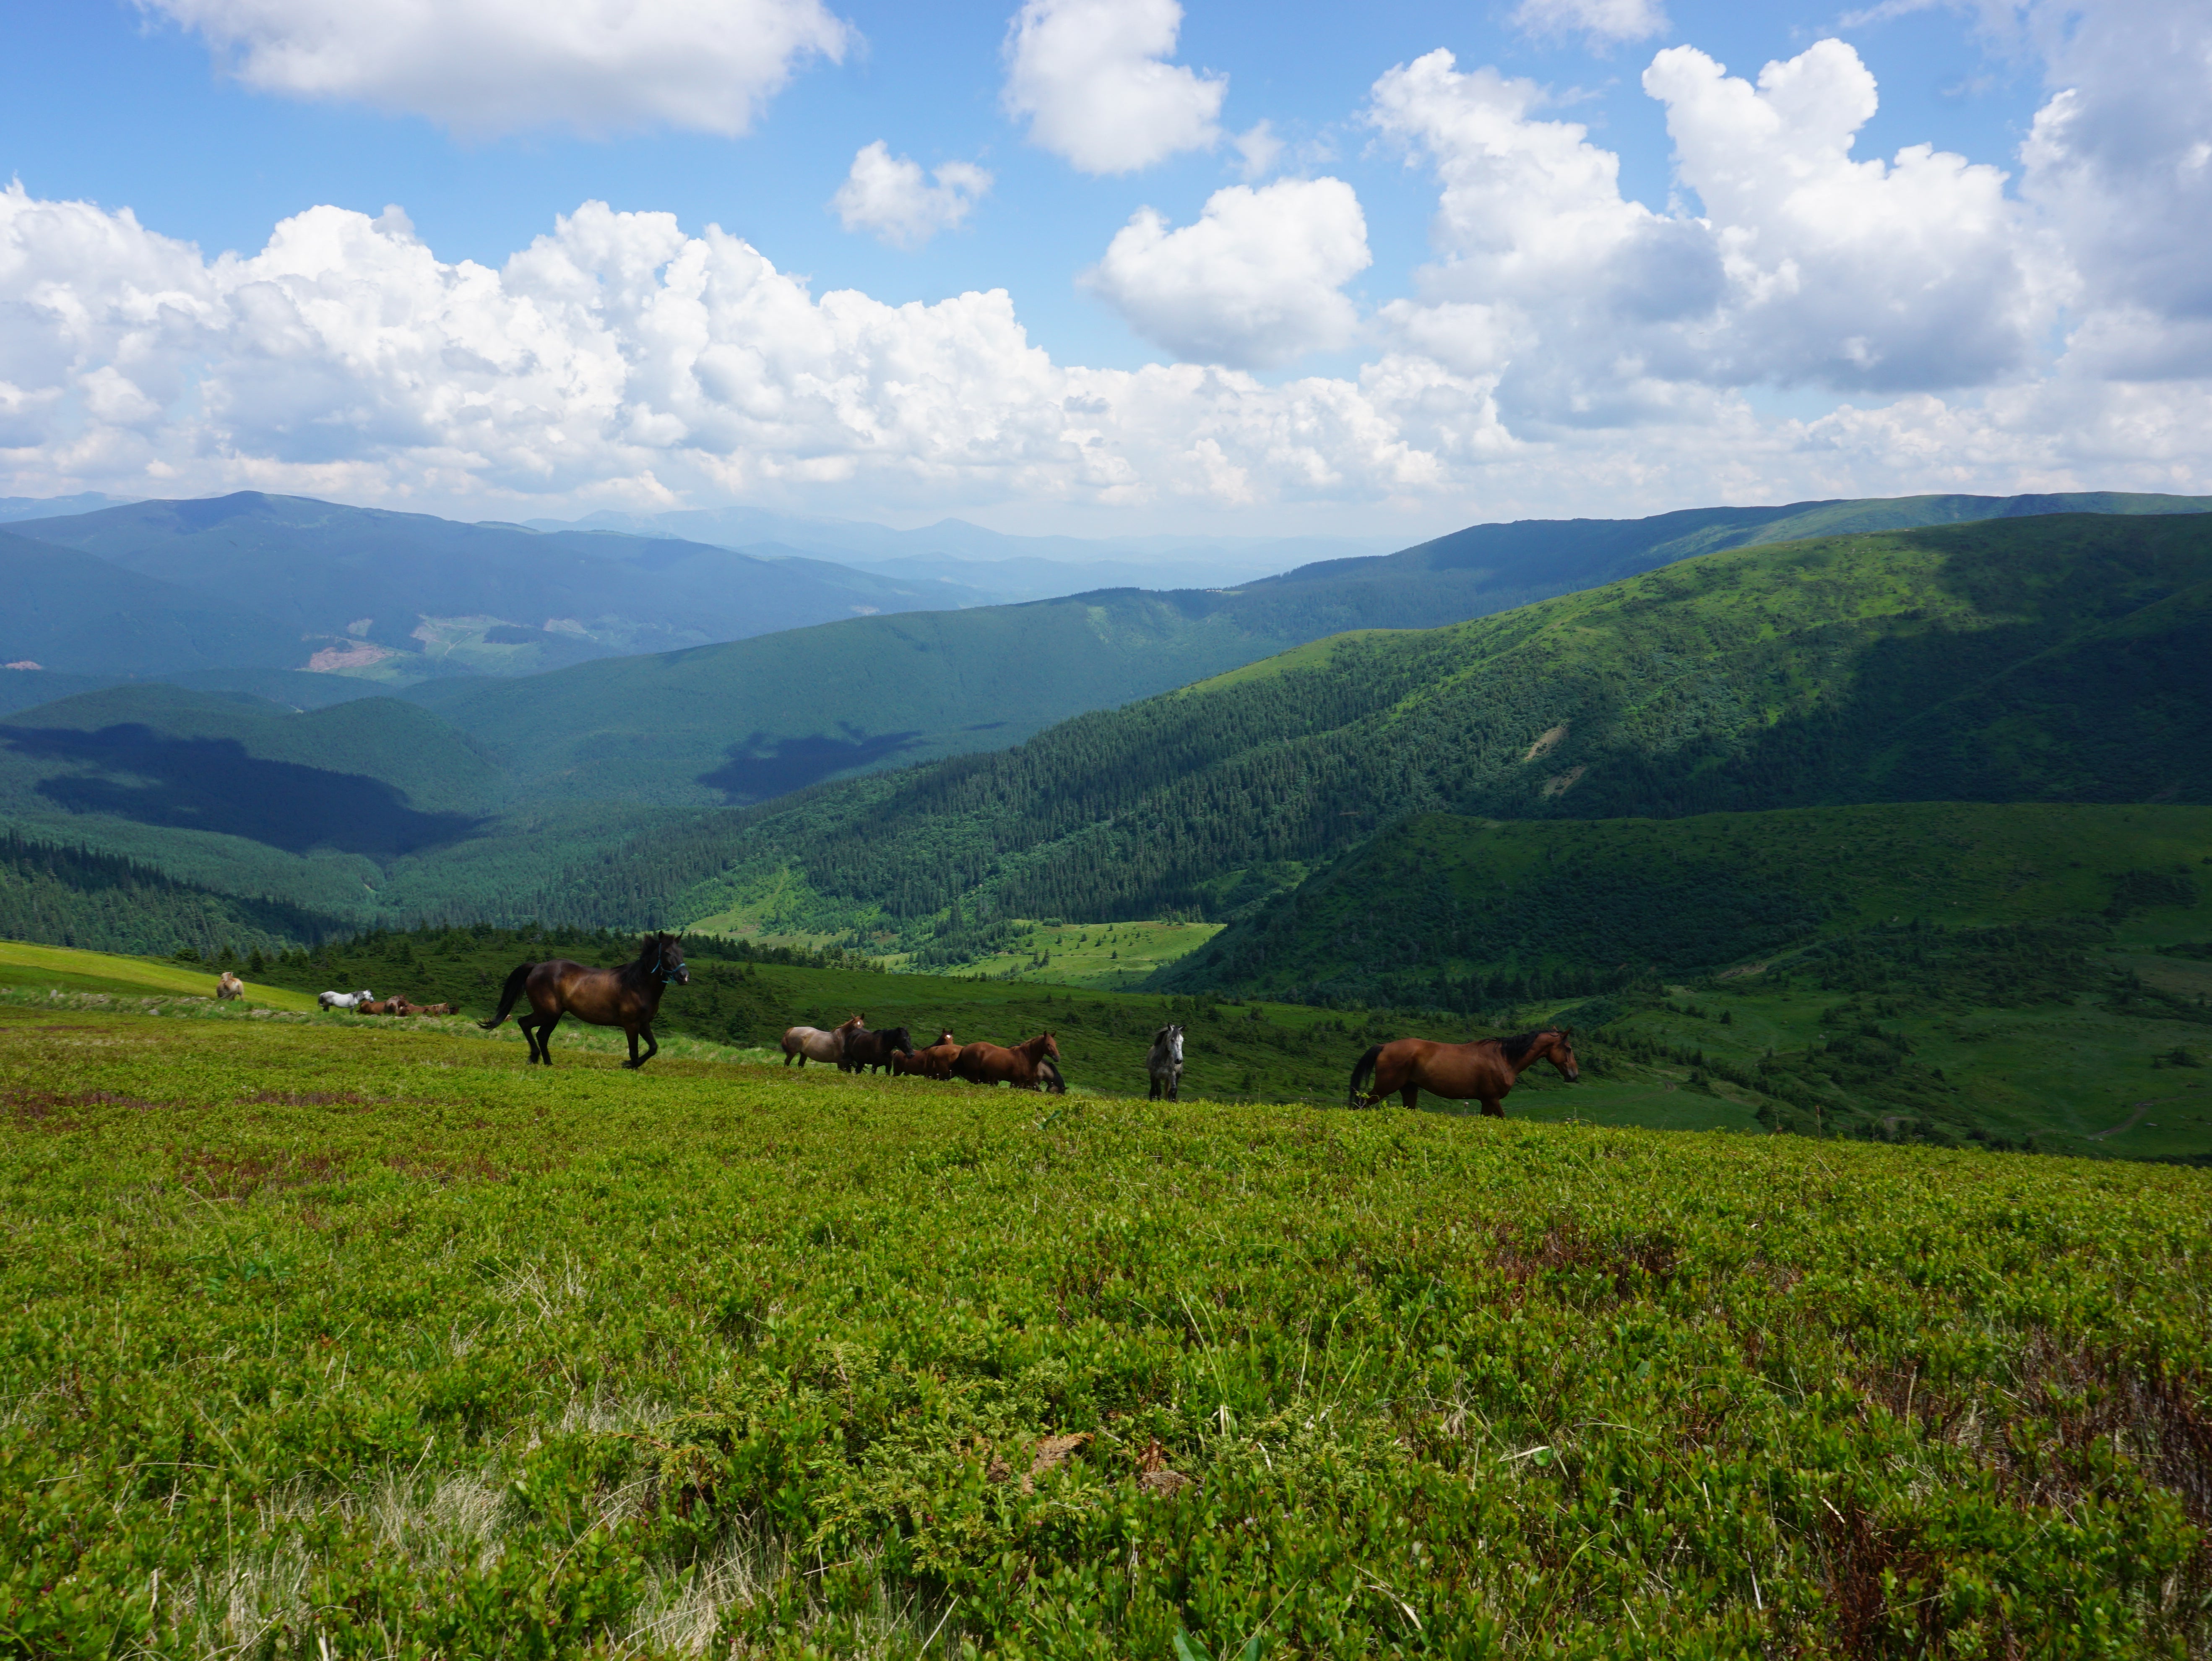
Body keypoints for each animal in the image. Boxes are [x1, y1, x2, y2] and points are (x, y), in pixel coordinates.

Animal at [480, 929, 685, 1070]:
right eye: (667, 953)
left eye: (681, 952)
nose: (684, 977)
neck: (637, 984)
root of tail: (536, 967)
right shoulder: (631, 1024)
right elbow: (634, 1051)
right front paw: (628, 1065)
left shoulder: (644, 1023)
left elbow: (653, 1048)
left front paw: (630, 1065)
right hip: (547, 1012)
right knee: (525, 1023)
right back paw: (534, 1058)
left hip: (554, 1016)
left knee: (542, 1035)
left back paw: (548, 1063)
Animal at [778, 1013, 862, 1066]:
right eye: (854, 1026)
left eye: (863, 1025)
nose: (859, 1035)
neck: (842, 1038)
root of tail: (791, 1029)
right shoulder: (840, 1062)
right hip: (792, 1053)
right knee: (787, 1063)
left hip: (804, 1054)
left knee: (800, 1065)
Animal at [1150, 1026, 1185, 1106]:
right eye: (1172, 1040)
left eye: (1182, 1041)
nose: (1179, 1060)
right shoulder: (1154, 1075)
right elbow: (1154, 1092)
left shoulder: (1172, 1074)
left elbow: (1173, 1090)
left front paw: (1171, 1103)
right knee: (1157, 1090)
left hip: (1177, 1076)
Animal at [1345, 1026, 1575, 1119]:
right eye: (1569, 1048)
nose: (1573, 1075)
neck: (1504, 1058)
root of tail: (1384, 1046)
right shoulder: (1492, 1099)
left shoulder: (1486, 1101)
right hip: (1384, 1088)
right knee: (1359, 1104)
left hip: (1409, 1089)